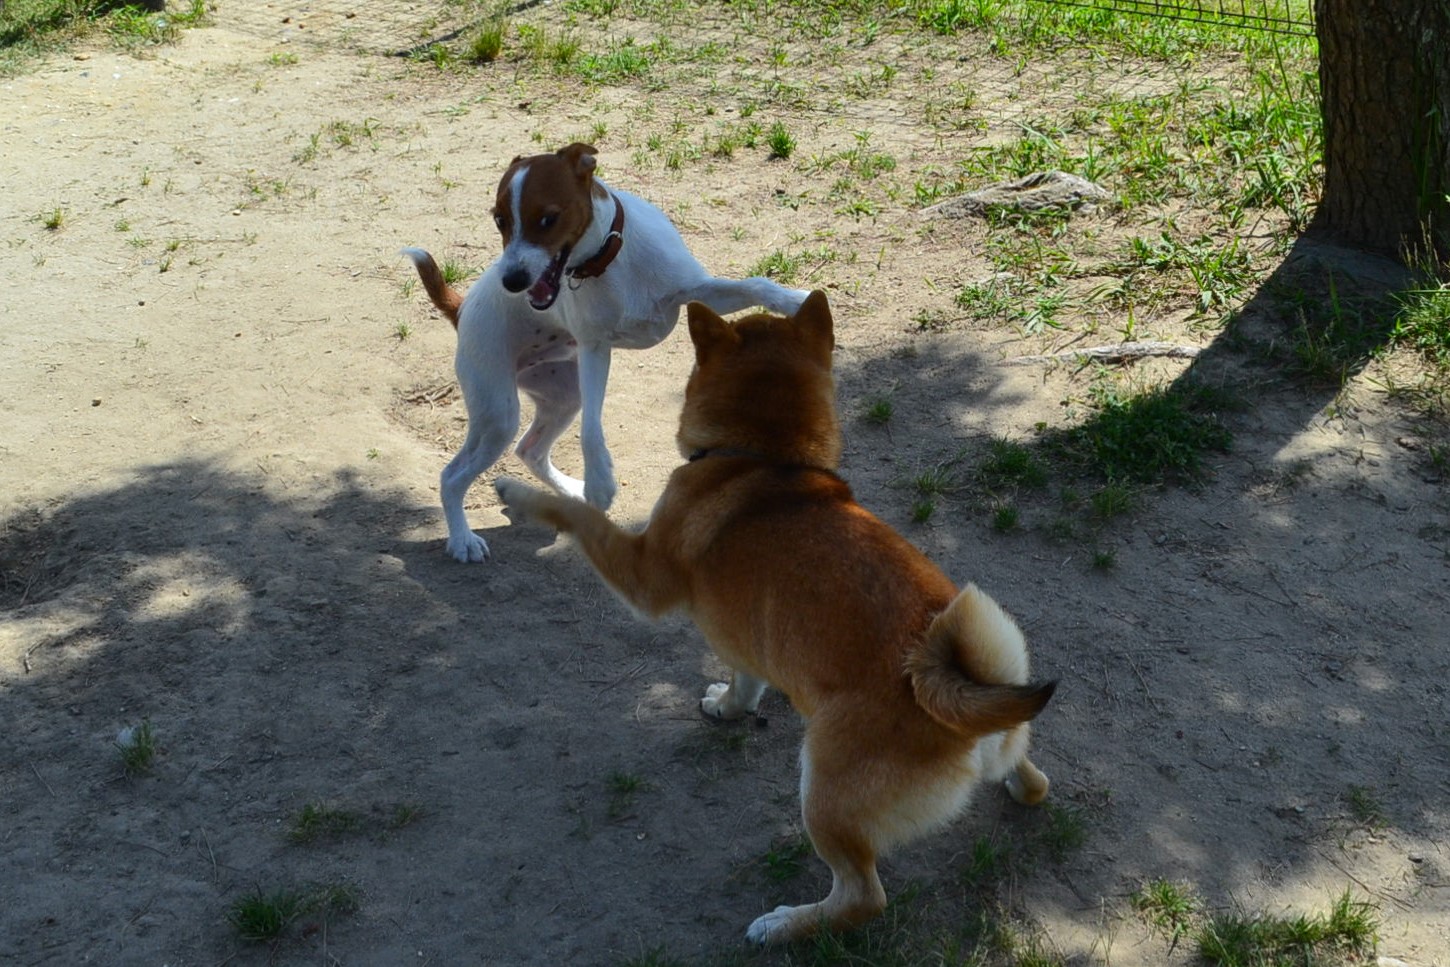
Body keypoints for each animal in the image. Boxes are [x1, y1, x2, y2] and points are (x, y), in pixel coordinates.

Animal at [403, 144, 812, 568]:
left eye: (547, 219)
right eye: (500, 220)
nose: (512, 282)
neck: (609, 263)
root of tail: (462, 307)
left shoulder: (697, 292)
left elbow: (756, 285)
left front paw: (795, 300)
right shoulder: (593, 350)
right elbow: (592, 431)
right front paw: (601, 483)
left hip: (563, 397)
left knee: (529, 450)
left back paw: (571, 490)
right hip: (498, 412)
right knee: (453, 475)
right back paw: (463, 539)